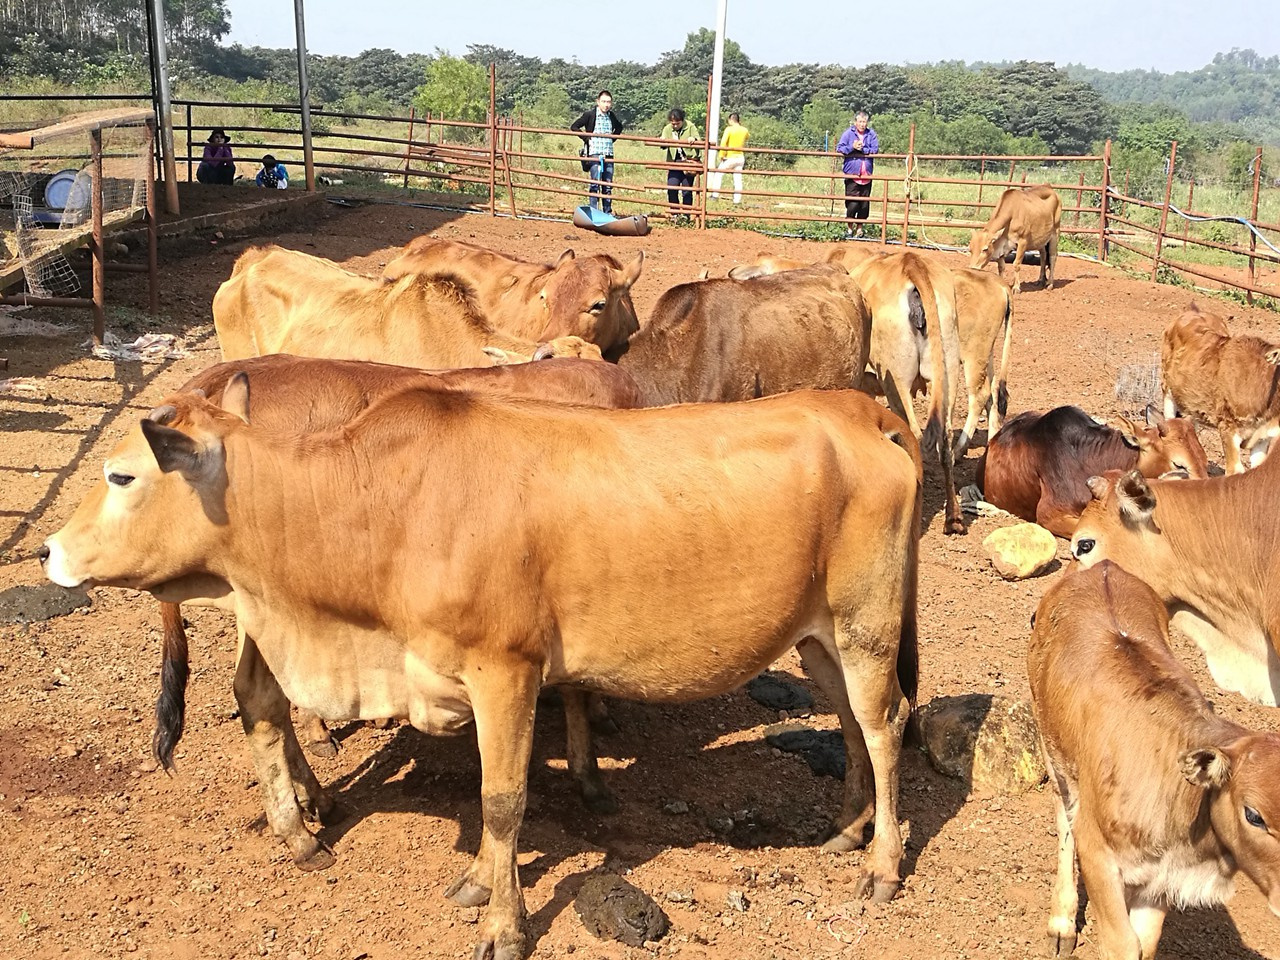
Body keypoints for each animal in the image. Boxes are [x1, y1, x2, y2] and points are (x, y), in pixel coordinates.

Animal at [1028, 561, 1280, 960]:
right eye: (1254, 815)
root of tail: (1103, 567)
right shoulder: (1097, 854)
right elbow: (1123, 944)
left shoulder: (1163, 882)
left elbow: (1144, 944)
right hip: (1054, 752)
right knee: (1064, 820)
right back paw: (1061, 924)